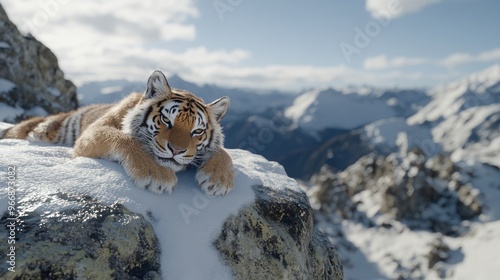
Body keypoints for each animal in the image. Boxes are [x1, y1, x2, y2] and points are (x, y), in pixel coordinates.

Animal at [0, 70, 235, 195]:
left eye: (197, 131)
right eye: (166, 120)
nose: (176, 150)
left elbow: (224, 151)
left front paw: (219, 180)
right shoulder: (93, 131)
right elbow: (123, 138)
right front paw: (156, 174)